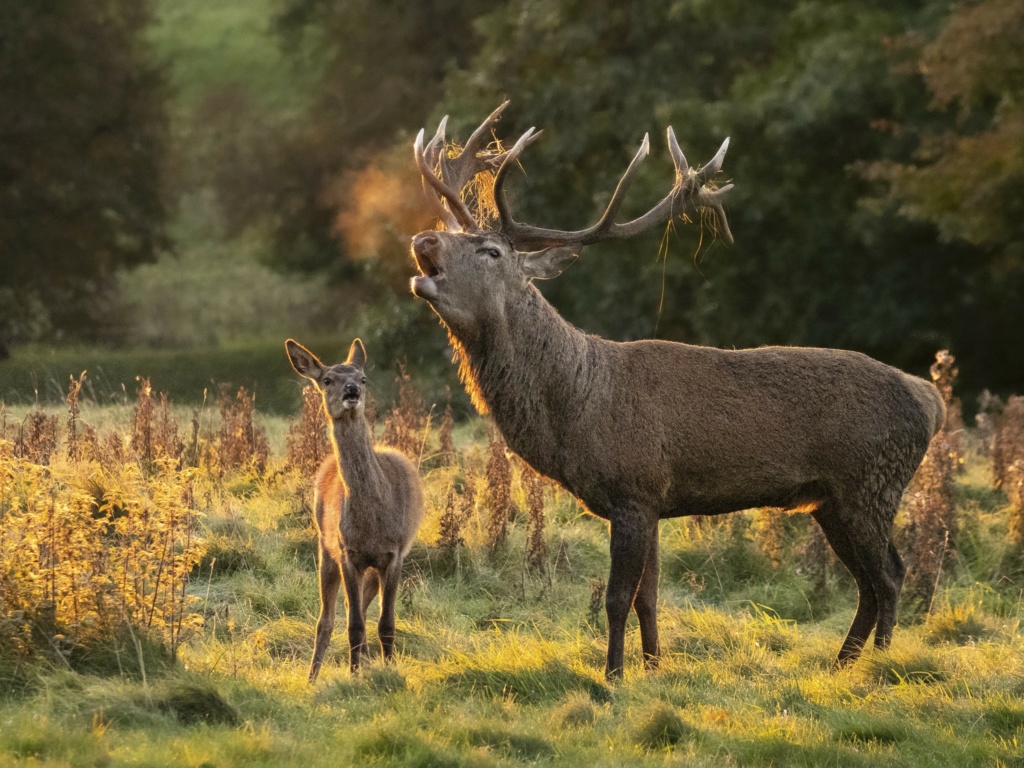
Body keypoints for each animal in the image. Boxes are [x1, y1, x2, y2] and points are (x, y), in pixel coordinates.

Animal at [284, 339, 423, 684]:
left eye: (363, 378)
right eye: (327, 380)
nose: (352, 390)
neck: (372, 524)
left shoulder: (395, 553)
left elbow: (386, 623)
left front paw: (388, 668)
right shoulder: (348, 552)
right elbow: (355, 624)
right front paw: (355, 674)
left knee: (358, 605)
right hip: (325, 547)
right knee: (329, 618)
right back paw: (312, 677)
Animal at [405, 103, 942, 679]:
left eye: (490, 251)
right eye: (445, 232)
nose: (423, 240)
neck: (575, 407)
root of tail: (930, 400)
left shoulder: (633, 487)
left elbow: (617, 597)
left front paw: (613, 675)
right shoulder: (656, 499)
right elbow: (650, 596)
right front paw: (654, 667)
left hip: (872, 482)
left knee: (889, 575)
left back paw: (879, 667)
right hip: (832, 499)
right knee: (870, 582)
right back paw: (843, 664)